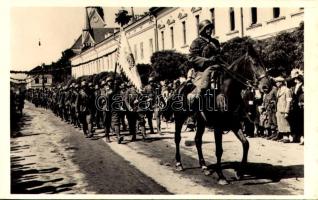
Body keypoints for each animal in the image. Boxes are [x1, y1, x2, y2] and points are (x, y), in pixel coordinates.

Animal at [164, 45, 270, 184]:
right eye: (255, 63)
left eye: (264, 62)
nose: (267, 86)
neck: (226, 93)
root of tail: (178, 88)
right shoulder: (218, 127)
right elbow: (219, 150)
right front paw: (221, 176)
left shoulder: (234, 124)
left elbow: (246, 144)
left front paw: (239, 173)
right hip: (179, 118)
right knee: (177, 138)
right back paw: (179, 164)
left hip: (201, 122)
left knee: (197, 140)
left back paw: (204, 167)